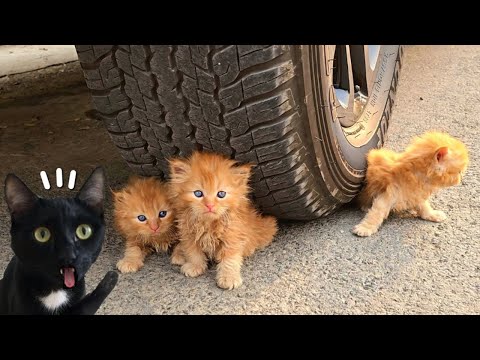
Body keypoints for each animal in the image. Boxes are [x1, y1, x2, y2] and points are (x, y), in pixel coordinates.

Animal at [168, 151, 278, 290]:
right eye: (198, 193)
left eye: (221, 194)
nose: (210, 205)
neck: (208, 224)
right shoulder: (188, 233)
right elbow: (193, 252)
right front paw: (195, 266)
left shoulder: (233, 236)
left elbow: (229, 259)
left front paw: (228, 277)